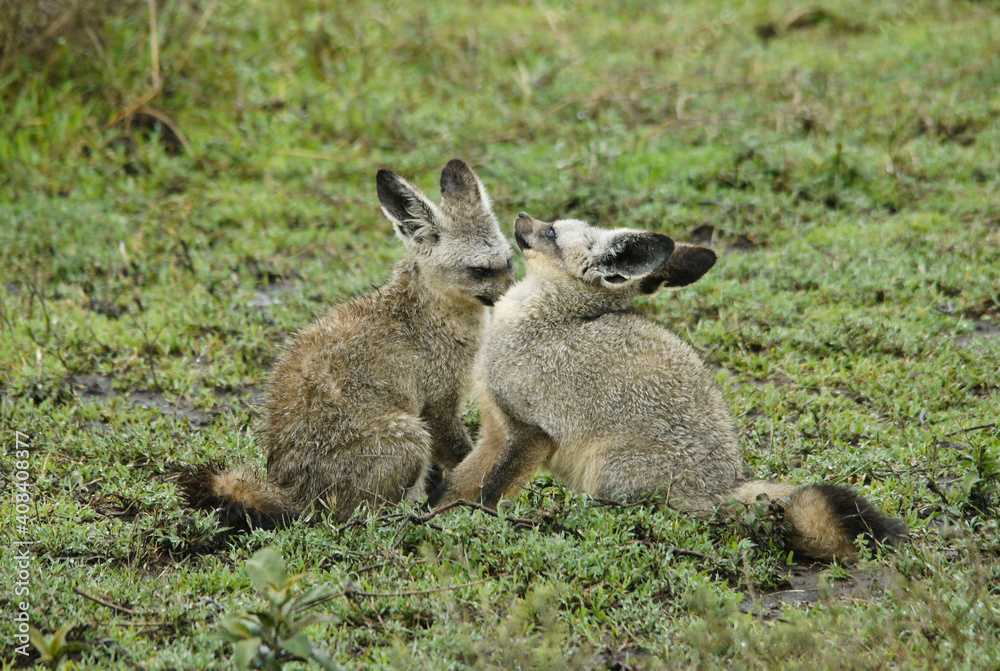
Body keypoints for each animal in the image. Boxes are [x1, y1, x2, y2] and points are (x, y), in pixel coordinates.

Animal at [181, 159, 513, 527]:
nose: (517, 295)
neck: (425, 312)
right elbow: (466, 461)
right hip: (410, 435)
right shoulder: (438, 407)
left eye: (509, 263)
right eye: (480, 270)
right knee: (363, 516)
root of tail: (292, 492)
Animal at [430, 212, 905, 561]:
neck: (545, 319)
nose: (521, 216)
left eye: (550, 231)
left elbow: (491, 493)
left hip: (606, 473)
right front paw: (434, 513)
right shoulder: (497, 430)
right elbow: (459, 483)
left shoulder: (532, 433)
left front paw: (475, 523)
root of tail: (725, 484)